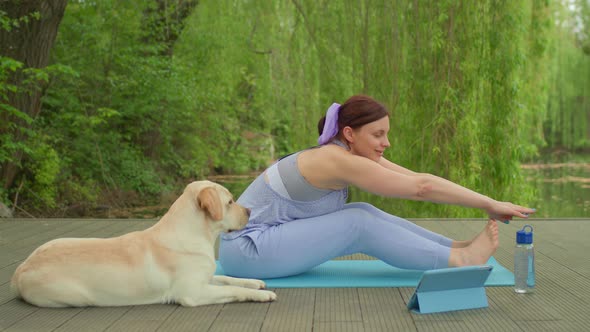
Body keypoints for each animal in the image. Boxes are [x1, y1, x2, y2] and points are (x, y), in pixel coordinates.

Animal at [9, 180, 278, 308]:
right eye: (230, 202)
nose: (250, 211)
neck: (196, 234)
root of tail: (20, 269)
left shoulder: (205, 278)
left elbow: (228, 279)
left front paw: (254, 282)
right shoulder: (192, 292)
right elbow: (231, 289)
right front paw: (261, 295)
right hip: (75, 295)